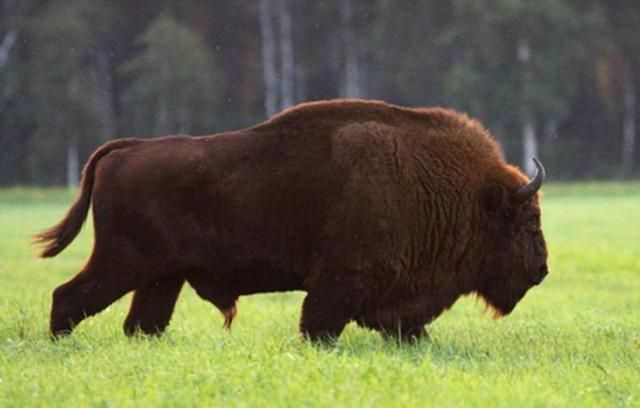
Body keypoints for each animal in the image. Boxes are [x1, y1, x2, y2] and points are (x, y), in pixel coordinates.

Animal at [35, 100, 548, 342]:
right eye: (527, 221)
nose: (541, 270)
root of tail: (127, 149)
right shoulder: (340, 285)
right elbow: (318, 326)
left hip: (162, 277)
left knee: (142, 323)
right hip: (122, 263)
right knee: (68, 298)